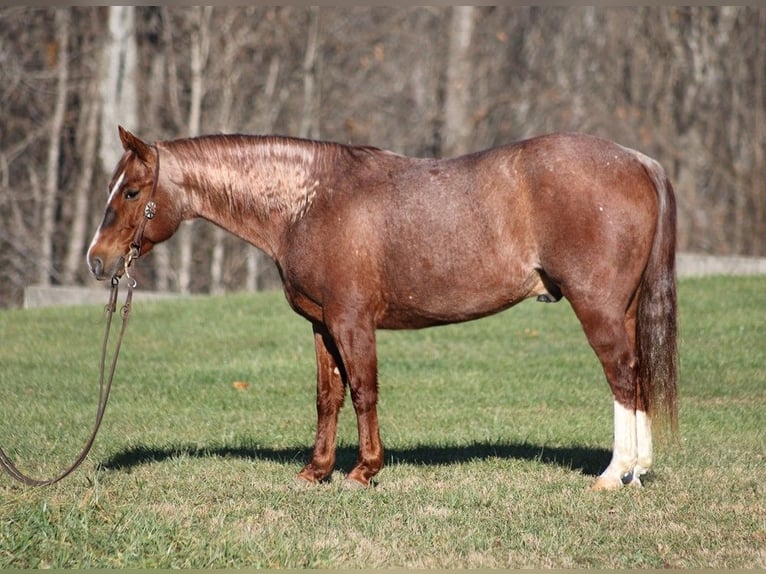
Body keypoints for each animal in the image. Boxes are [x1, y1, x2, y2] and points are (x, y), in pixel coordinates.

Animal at [87, 128, 680, 492]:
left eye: (132, 191)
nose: (97, 261)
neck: (309, 203)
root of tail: (639, 161)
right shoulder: (321, 324)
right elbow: (327, 397)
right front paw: (316, 471)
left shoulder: (352, 321)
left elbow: (363, 391)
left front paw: (364, 471)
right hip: (623, 309)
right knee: (637, 377)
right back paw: (639, 471)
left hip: (597, 306)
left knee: (622, 375)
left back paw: (615, 474)